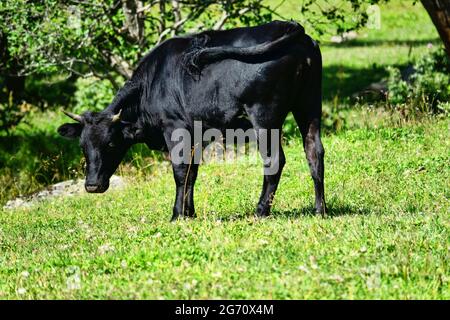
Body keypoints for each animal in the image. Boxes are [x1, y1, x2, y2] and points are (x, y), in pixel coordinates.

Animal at [59, 20, 326, 220]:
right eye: (83, 146)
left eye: (111, 144)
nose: (92, 186)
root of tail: (289, 28)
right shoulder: (195, 134)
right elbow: (191, 173)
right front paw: (190, 213)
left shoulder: (175, 128)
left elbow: (180, 171)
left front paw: (177, 215)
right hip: (309, 104)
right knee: (314, 151)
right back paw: (320, 210)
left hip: (264, 114)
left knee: (274, 160)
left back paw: (260, 211)